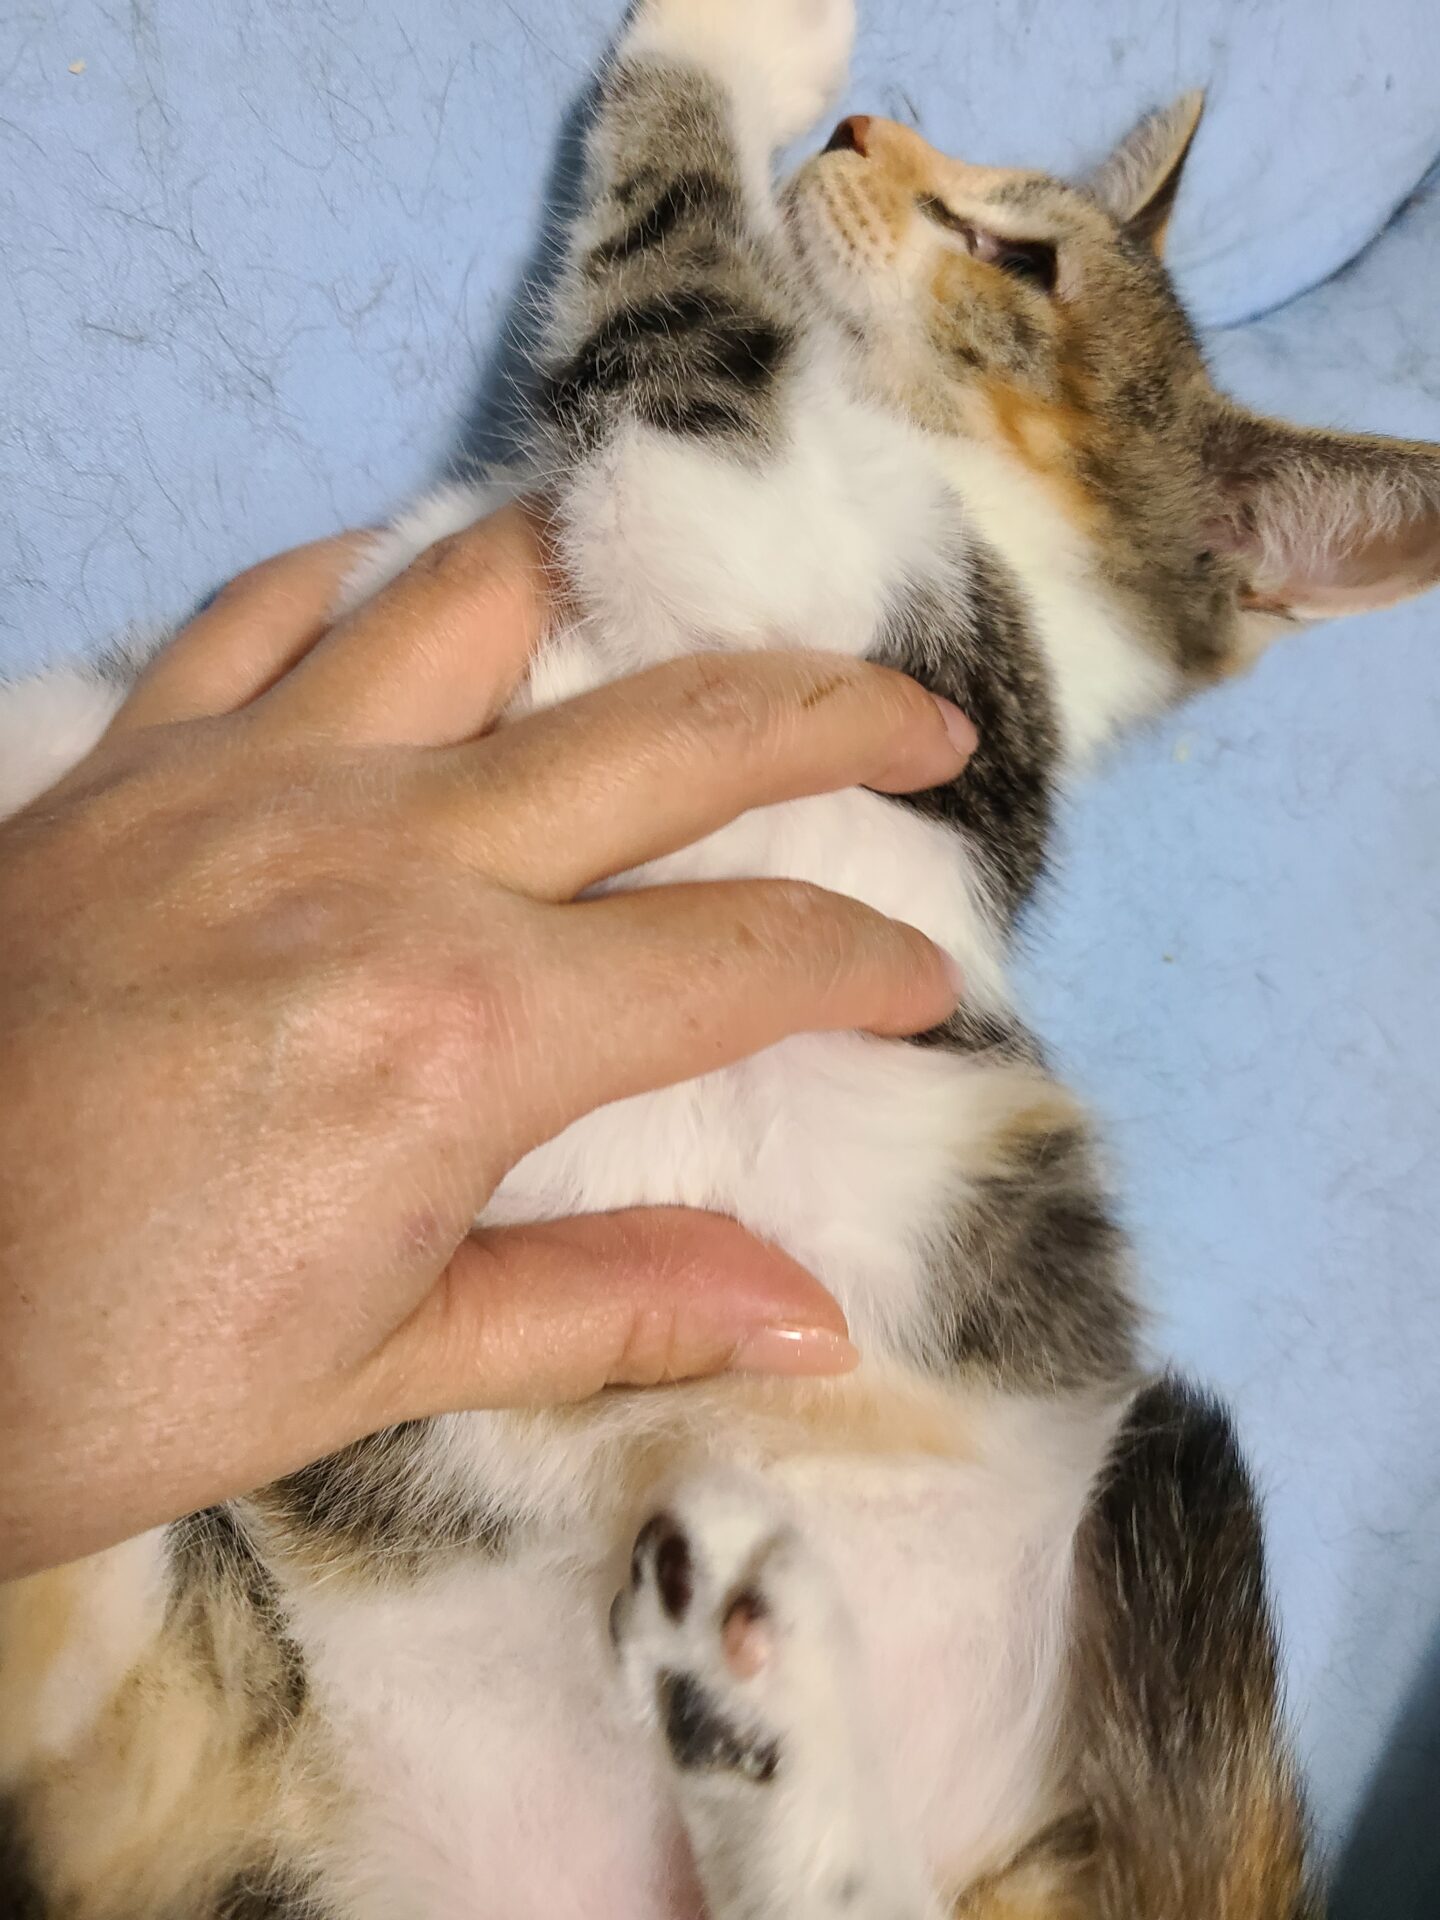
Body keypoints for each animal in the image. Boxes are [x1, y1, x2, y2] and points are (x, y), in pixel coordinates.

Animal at [4, 0, 1440, 1913]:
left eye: (1019, 250)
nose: (857, 133)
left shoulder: (808, 567)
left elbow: (678, 288)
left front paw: (733, 43)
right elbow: (76, 732)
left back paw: (761, 1674)